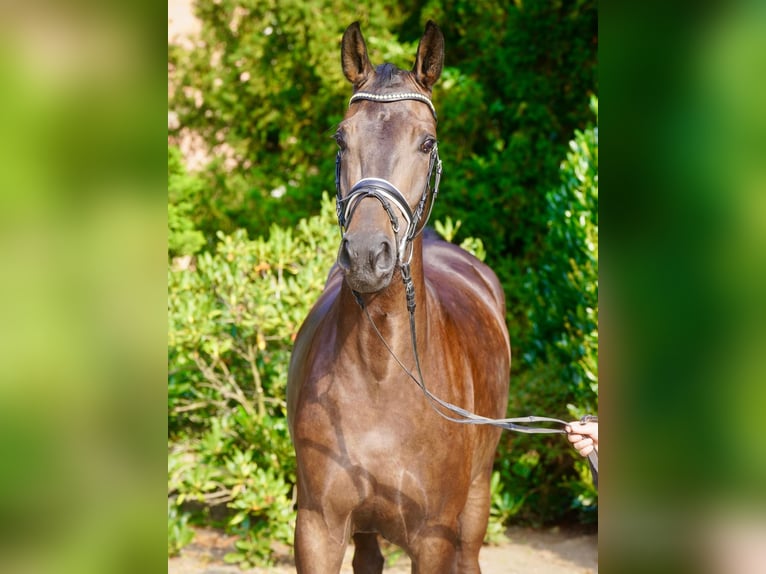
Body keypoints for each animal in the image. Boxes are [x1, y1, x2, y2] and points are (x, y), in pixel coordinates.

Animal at [288, 20, 510, 572]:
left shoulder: (432, 538)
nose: (369, 254)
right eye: (341, 138)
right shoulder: (318, 528)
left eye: (427, 143)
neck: (381, 372)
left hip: (477, 496)